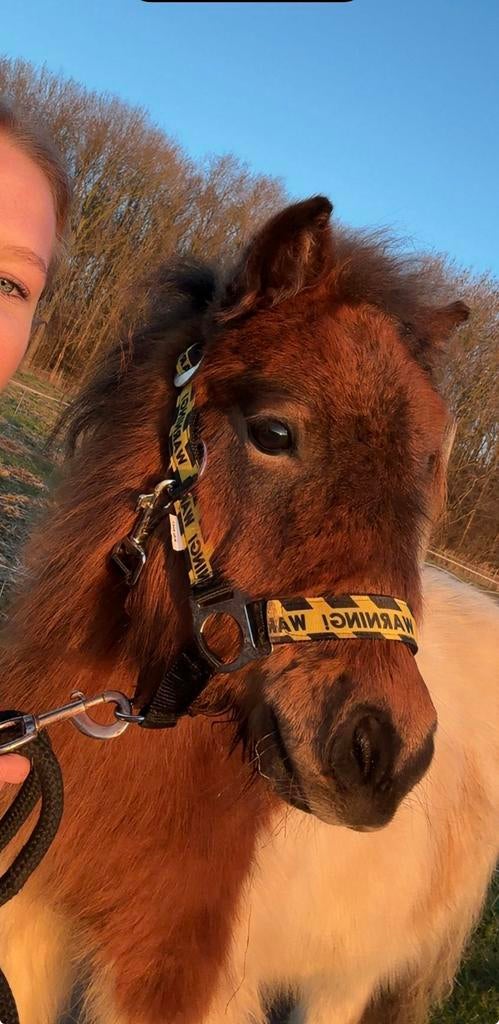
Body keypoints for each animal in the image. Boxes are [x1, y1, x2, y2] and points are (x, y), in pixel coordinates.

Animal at [0, 196, 497, 1024]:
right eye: (272, 432)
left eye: (428, 468)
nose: (384, 751)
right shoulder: (31, 926)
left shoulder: (173, 978)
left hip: (343, 982)